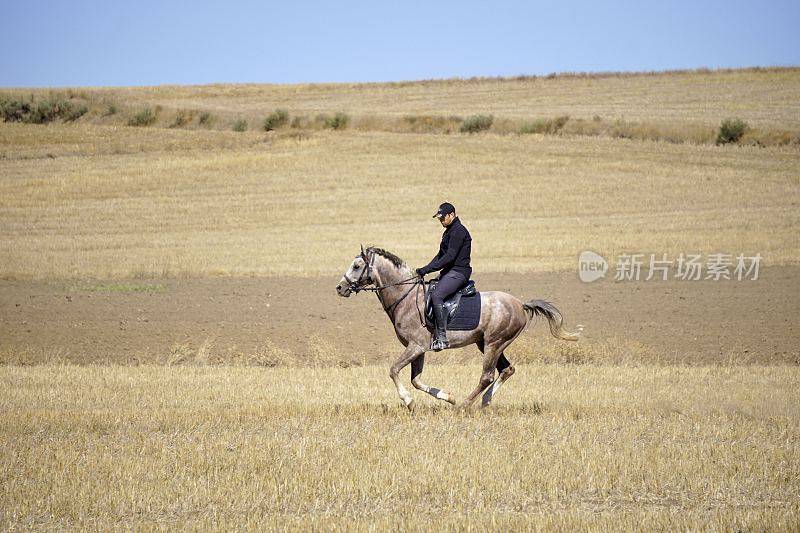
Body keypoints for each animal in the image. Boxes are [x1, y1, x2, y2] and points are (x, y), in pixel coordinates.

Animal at [332, 246, 580, 412]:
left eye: (356, 266)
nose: (340, 288)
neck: (406, 297)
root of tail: (520, 304)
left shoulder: (415, 347)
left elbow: (393, 370)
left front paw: (409, 401)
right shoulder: (419, 350)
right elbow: (416, 380)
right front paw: (447, 396)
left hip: (494, 343)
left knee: (487, 376)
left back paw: (464, 405)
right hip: (487, 344)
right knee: (507, 370)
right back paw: (484, 402)